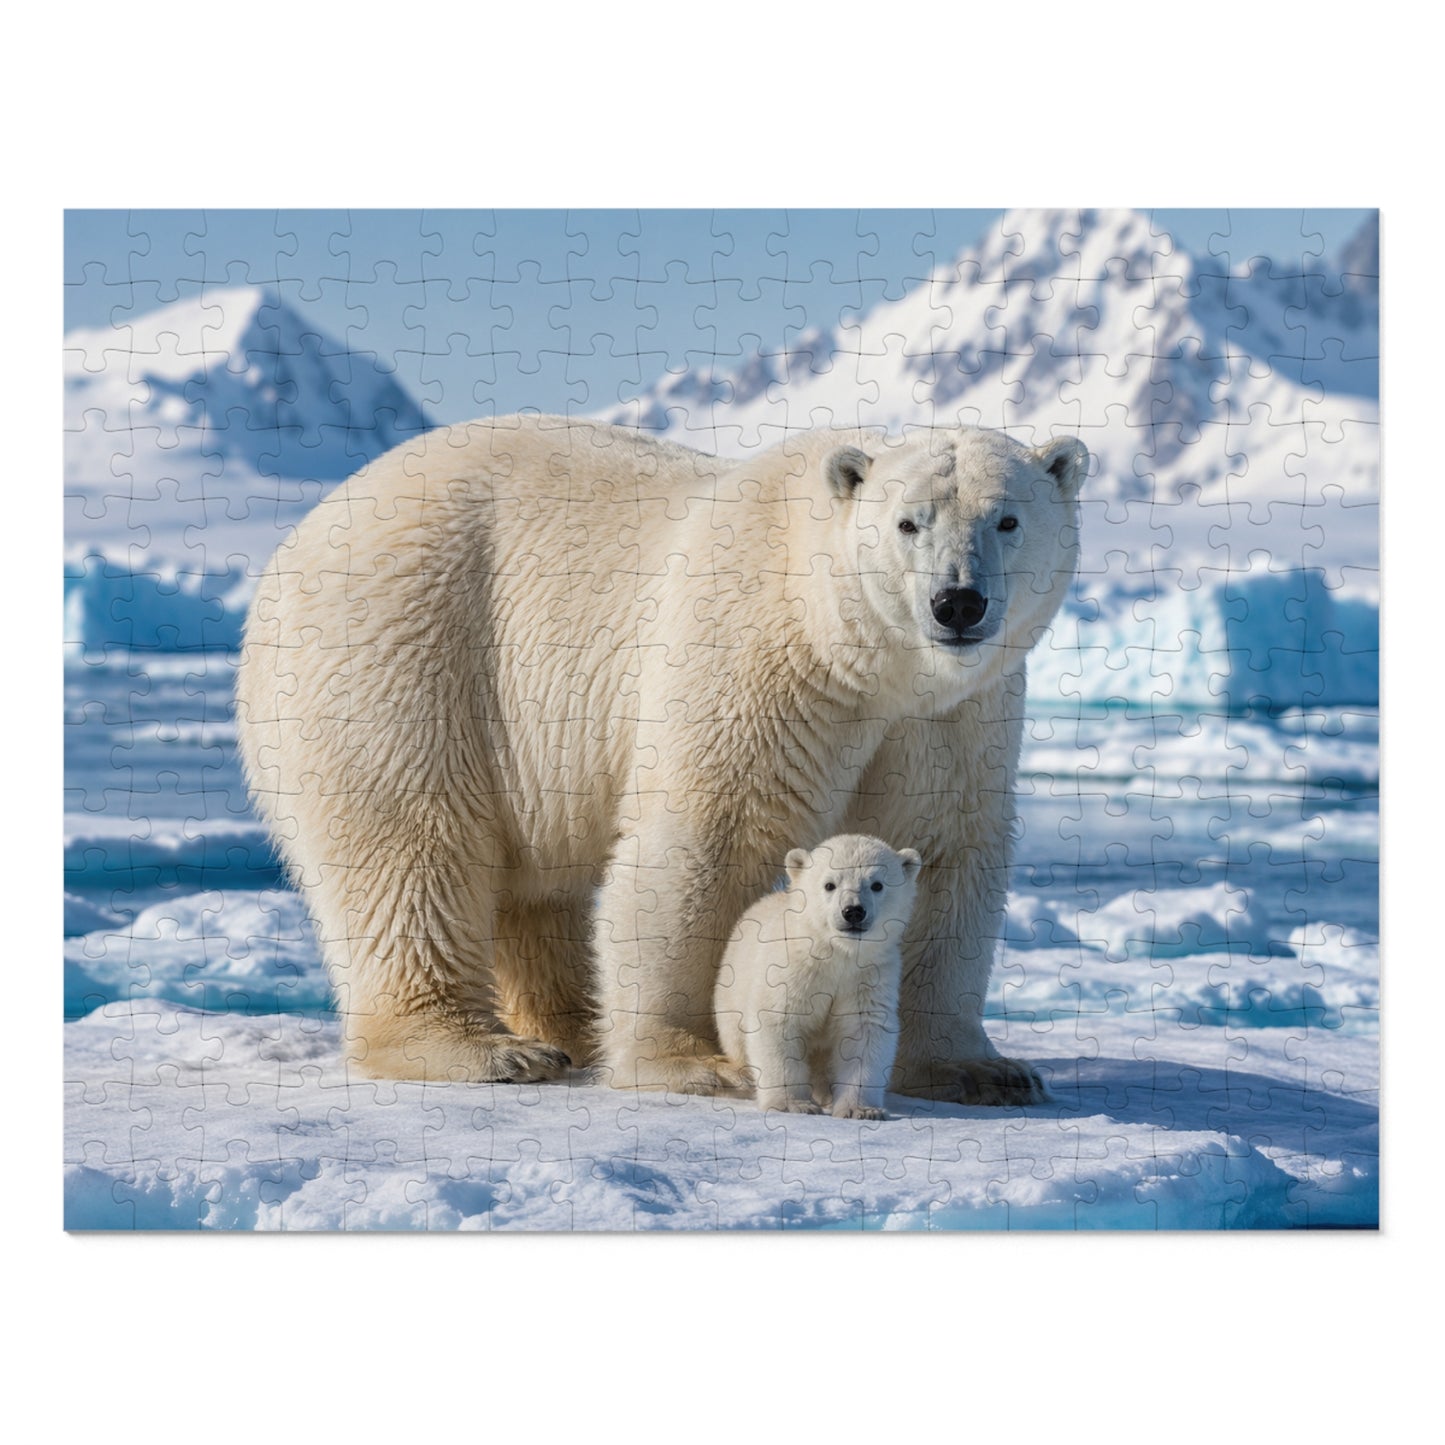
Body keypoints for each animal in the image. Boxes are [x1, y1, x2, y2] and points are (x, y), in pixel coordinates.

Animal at [714, 834, 922, 1119]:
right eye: (829, 884)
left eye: (877, 884)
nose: (853, 911)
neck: (837, 952)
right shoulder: (793, 970)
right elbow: (779, 1022)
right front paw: (793, 1104)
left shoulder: (868, 975)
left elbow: (863, 1031)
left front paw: (861, 1109)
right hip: (730, 995)